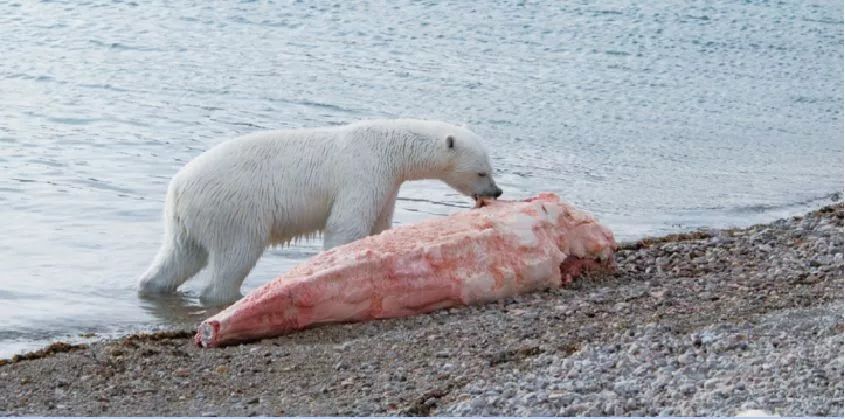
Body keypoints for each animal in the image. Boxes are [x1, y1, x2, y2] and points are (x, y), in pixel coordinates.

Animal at [138, 118, 502, 306]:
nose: (496, 191)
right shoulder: (362, 172)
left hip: (188, 219)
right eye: (482, 171)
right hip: (234, 209)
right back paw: (228, 297)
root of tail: (178, 189)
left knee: (180, 255)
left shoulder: (386, 183)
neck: (390, 147)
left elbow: (379, 223)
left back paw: (152, 285)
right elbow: (346, 225)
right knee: (235, 254)